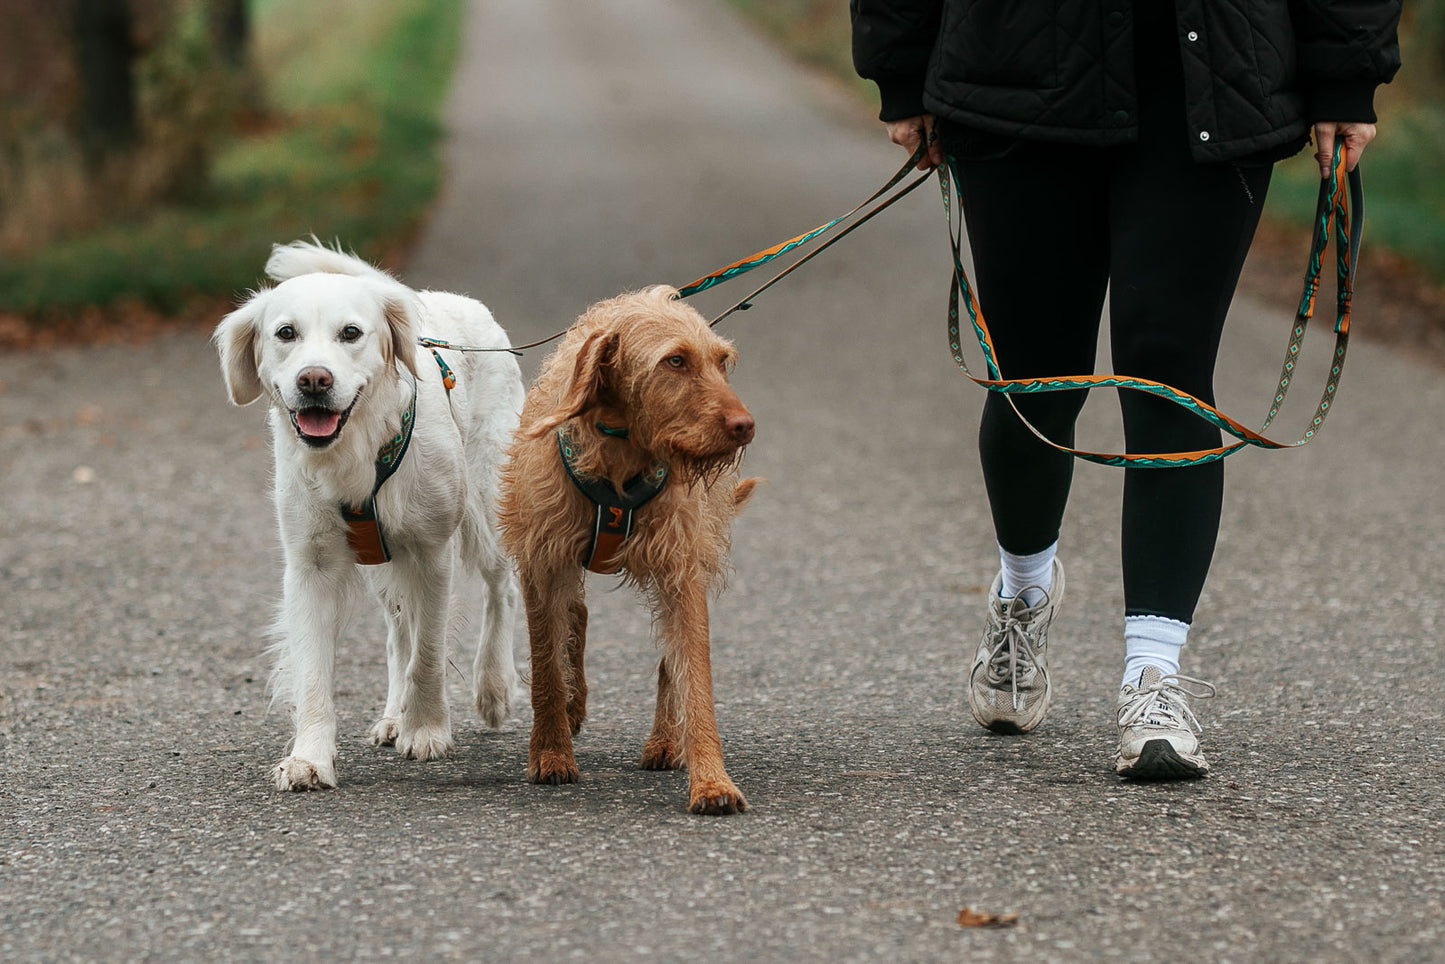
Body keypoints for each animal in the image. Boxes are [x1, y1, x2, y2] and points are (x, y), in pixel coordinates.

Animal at [210, 241, 528, 792]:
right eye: (285, 333)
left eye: (351, 333)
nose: (314, 380)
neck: (356, 449)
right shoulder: (311, 565)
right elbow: (316, 674)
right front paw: (311, 756)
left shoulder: (431, 553)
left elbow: (428, 653)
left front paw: (426, 730)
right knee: (398, 633)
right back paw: (394, 714)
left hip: (486, 506)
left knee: (500, 589)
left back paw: (492, 688)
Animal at [499, 284, 757, 815]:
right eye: (675, 361)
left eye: (722, 361)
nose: (745, 425)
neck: (619, 448)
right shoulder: (542, 562)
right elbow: (545, 666)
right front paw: (551, 751)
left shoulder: (682, 569)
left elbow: (693, 673)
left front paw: (711, 779)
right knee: (573, 617)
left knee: (666, 659)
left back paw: (665, 740)